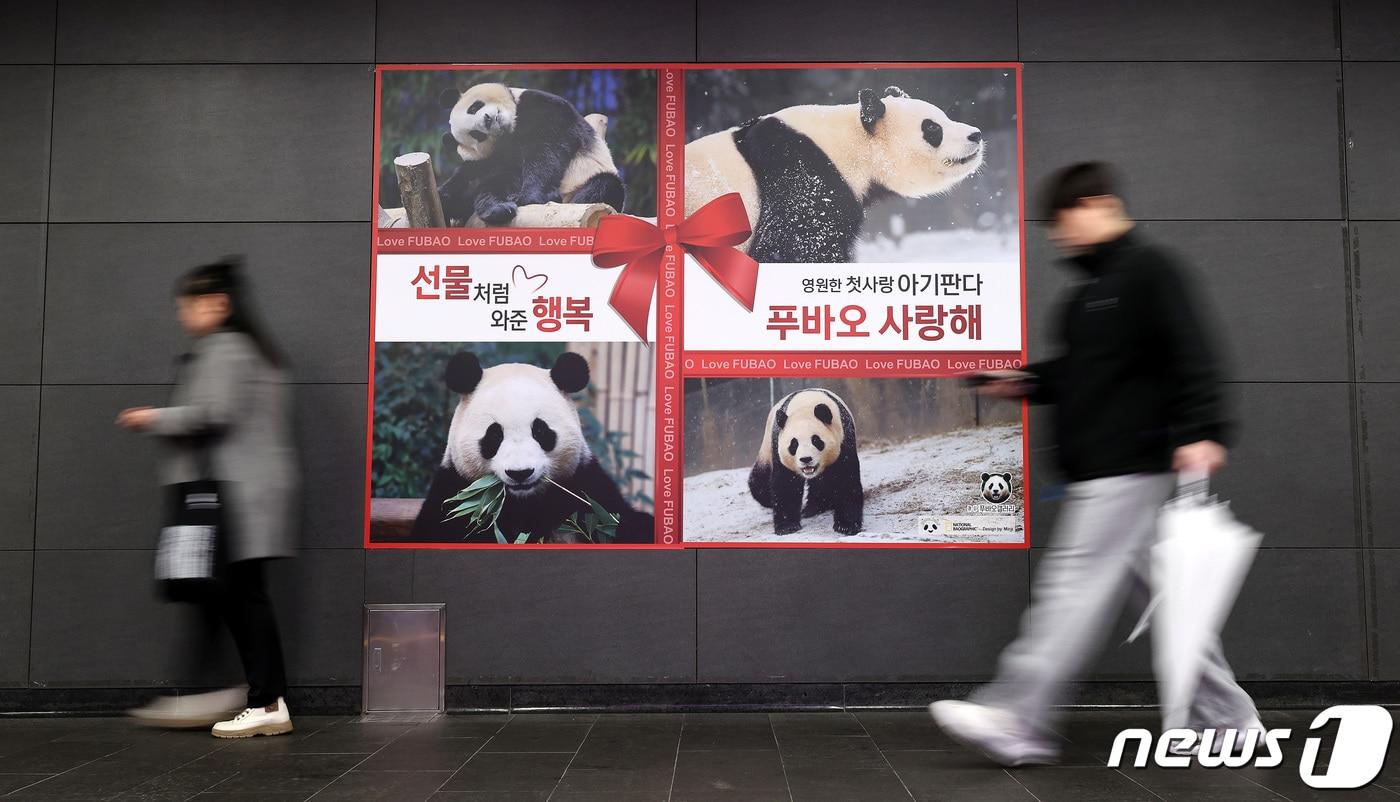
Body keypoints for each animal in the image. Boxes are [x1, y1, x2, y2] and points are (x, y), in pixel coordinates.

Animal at [408, 351, 655, 543]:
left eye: (540, 431)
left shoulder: (585, 485)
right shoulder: (455, 492)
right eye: (494, 435)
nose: (520, 473)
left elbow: (619, 519)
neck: (524, 503)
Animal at [439, 82, 627, 225]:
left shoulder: (543, 106)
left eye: (474, 108)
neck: (512, 125)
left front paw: (530, 196)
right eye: (477, 134)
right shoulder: (493, 157)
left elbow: (546, 150)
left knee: (604, 186)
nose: (487, 120)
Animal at [744, 389, 862, 531]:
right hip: (766, 448)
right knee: (759, 480)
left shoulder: (843, 439)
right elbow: (785, 484)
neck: (805, 407)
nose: (806, 459)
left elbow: (846, 479)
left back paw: (816, 506)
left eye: (816, 440)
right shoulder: (778, 445)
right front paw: (787, 526)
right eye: (793, 445)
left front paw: (846, 525)